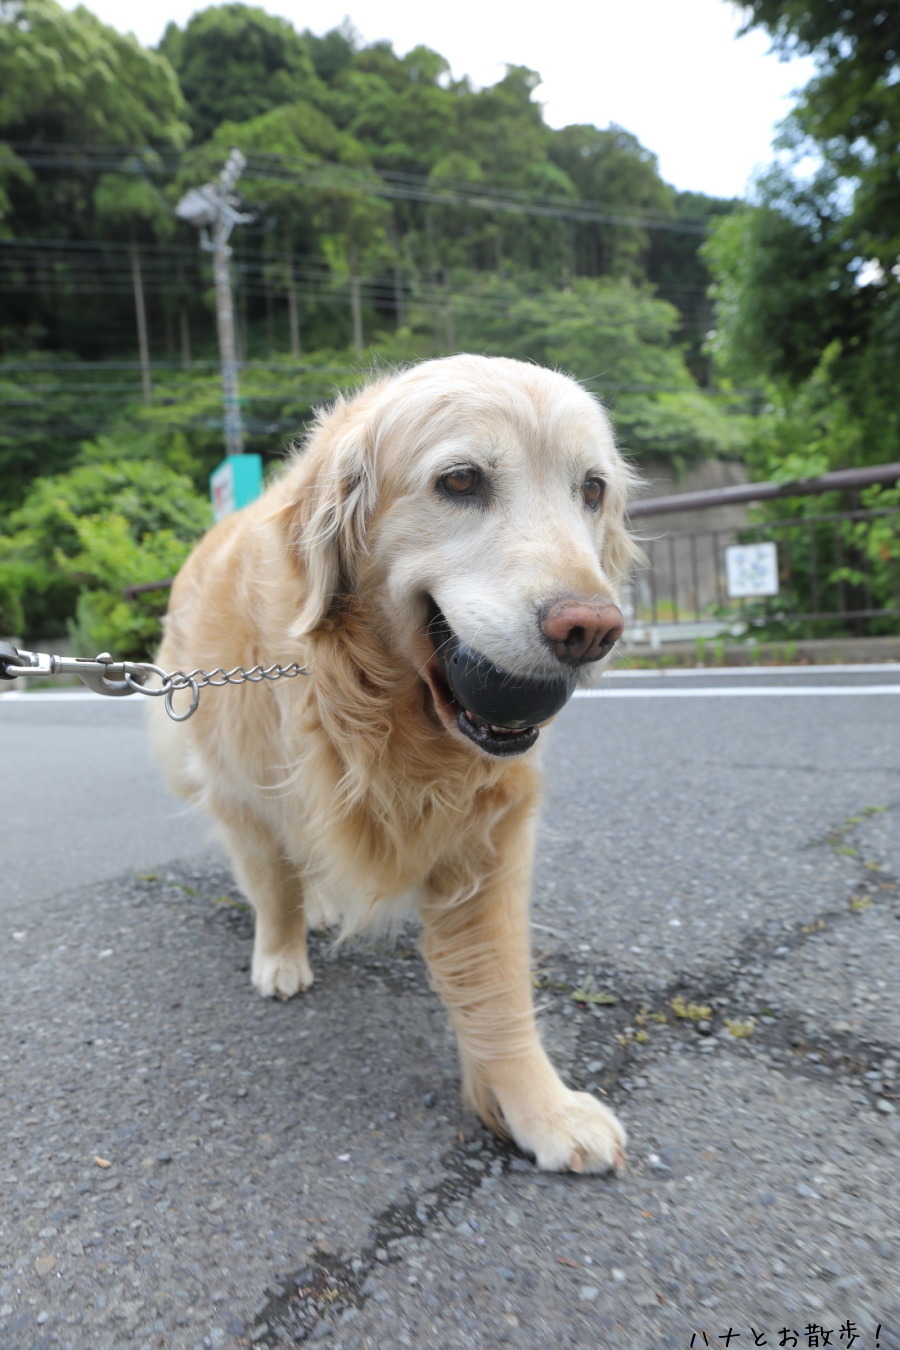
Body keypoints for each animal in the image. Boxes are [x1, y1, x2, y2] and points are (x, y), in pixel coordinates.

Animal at [151, 359, 639, 1171]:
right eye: (461, 480)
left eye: (592, 489)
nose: (592, 630)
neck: (372, 708)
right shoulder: (243, 793)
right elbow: (272, 883)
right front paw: (278, 955)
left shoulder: (487, 832)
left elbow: (499, 983)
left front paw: (541, 1109)